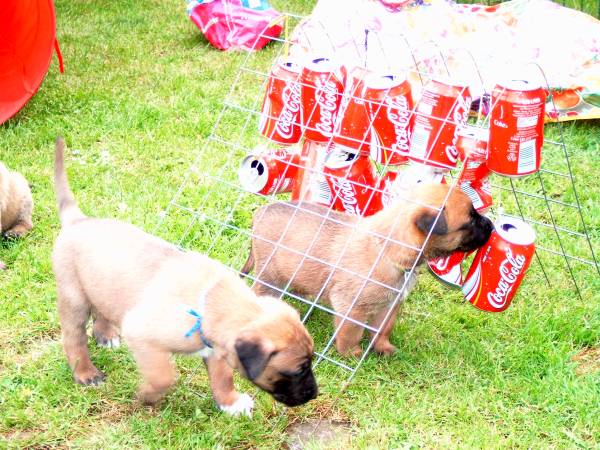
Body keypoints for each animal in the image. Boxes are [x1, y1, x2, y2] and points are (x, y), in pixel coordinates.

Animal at [52, 138, 317, 416]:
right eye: (297, 370)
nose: (314, 394)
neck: (209, 300)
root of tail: (78, 220)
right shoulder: (142, 334)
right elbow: (164, 376)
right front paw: (148, 396)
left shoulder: (216, 350)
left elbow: (223, 377)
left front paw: (230, 403)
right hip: (73, 297)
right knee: (73, 338)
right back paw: (85, 372)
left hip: (100, 285)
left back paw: (106, 335)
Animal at [242, 183, 494, 357]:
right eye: (471, 220)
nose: (491, 225)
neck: (387, 247)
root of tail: (260, 213)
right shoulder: (352, 308)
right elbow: (351, 333)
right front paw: (351, 353)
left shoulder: (390, 305)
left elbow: (383, 329)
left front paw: (383, 348)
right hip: (269, 277)